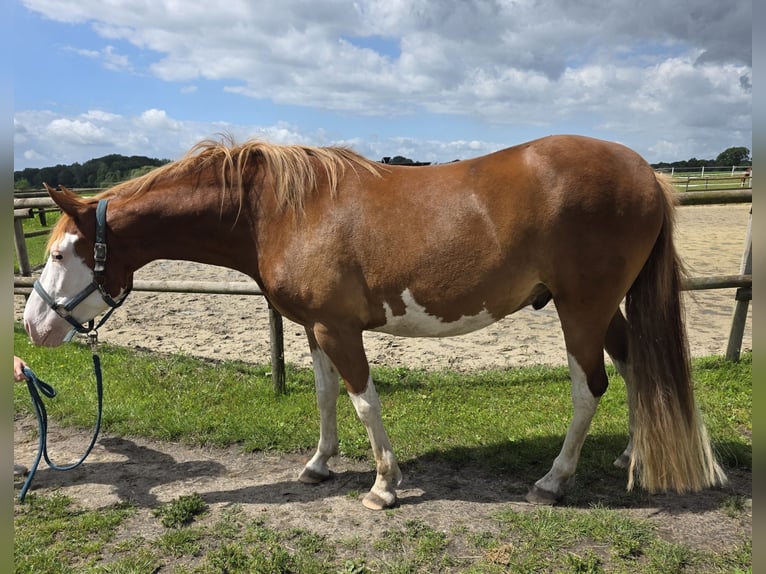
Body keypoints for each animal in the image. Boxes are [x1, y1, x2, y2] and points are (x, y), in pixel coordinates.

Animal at [23, 134, 726, 509]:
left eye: (58, 254)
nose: (33, 327)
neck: (282, 210)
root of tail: (647, 175)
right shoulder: (313, 328)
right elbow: (325, 395)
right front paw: (319, 465)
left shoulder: (340, 329)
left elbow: (364, 401)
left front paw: (385, 486)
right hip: (605, 307)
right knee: (634, 368)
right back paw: (633, 453)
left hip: (580, 309)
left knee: (590, 388)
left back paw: (553, 481)